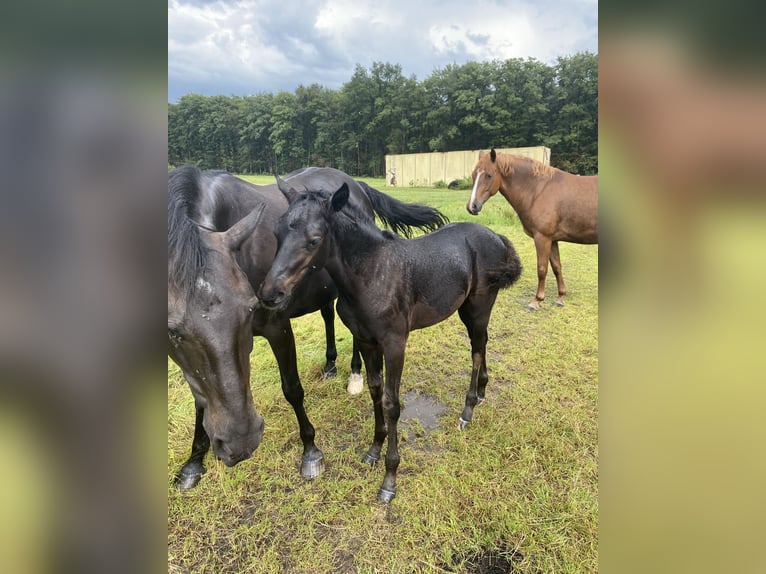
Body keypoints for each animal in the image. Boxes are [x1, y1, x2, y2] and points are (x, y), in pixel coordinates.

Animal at [165, 165, 448, 490]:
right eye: (172, 330)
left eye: (248, 310)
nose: (240, 441)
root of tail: (355, 184)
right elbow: (201, 401)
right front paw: (194, 462)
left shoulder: (277, 327)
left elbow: (292, 389)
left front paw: (311, 452)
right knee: (327, 314)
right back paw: (330, 365)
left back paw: (354, 374)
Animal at [260, 178, 524, 502]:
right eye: (278, 233)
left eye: (314, 240)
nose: (269, 294)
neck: (371, 273)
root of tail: (496, 237)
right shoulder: (366, 341)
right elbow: (375, 391)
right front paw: (374, 449)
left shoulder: (395, 344)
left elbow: (391, 403)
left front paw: (389, 479)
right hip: (467, 309)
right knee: (483, 343)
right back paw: (483, 391)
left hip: (479, 306)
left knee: (476, 350)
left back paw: (468, 410)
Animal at [468, 150, 600, 310]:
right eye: (474, 174)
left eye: (488, 175)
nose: (472, 206)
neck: (538, 190)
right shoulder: (552, 239)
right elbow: (557, 267)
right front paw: (560, 297)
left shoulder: (542, 238)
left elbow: (542, 269)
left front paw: (536, 300)